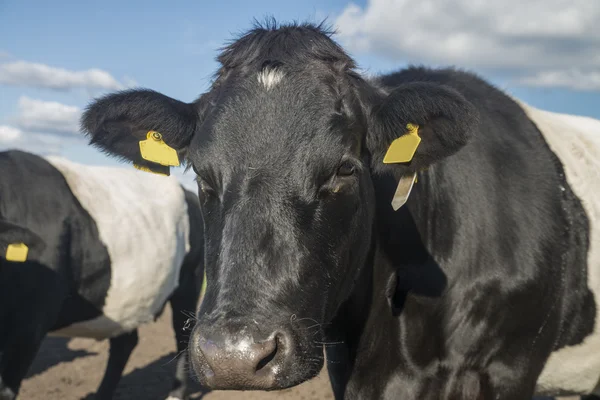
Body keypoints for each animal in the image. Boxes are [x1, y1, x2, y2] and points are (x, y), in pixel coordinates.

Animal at [0, 151, 204, 400]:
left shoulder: (31, 323)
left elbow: (6, 389)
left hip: (189, 283)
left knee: (182, 336)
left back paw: (175, 393)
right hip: (131, 298)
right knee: (124, 344)